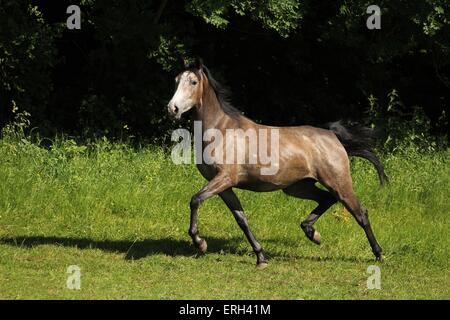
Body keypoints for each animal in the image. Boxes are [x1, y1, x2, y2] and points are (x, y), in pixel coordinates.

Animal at [167, 59, 388, 268]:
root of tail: (333, 136)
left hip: (339, 183)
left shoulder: (224, 179)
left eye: (193, 82)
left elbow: (195, 200)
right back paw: (313, 234)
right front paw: (261, 257)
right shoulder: (223, 186)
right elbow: (241, 219)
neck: (222, 131)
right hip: (297, 187)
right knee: (327, 199)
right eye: (176, 81)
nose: (172, 109)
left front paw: (200, 243)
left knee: (360, 213)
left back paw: (379, 254)